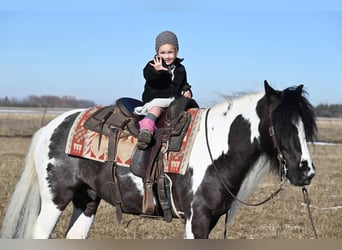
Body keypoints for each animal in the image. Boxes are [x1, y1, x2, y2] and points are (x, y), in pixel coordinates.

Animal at [0, 81, 316, 239]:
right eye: (281, 125)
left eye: (305, 125)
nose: (307, 172)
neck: (215, 150)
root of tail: (51, 127)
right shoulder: (197, 220)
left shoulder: (211, 220)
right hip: (55, 199)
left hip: (87, 200)